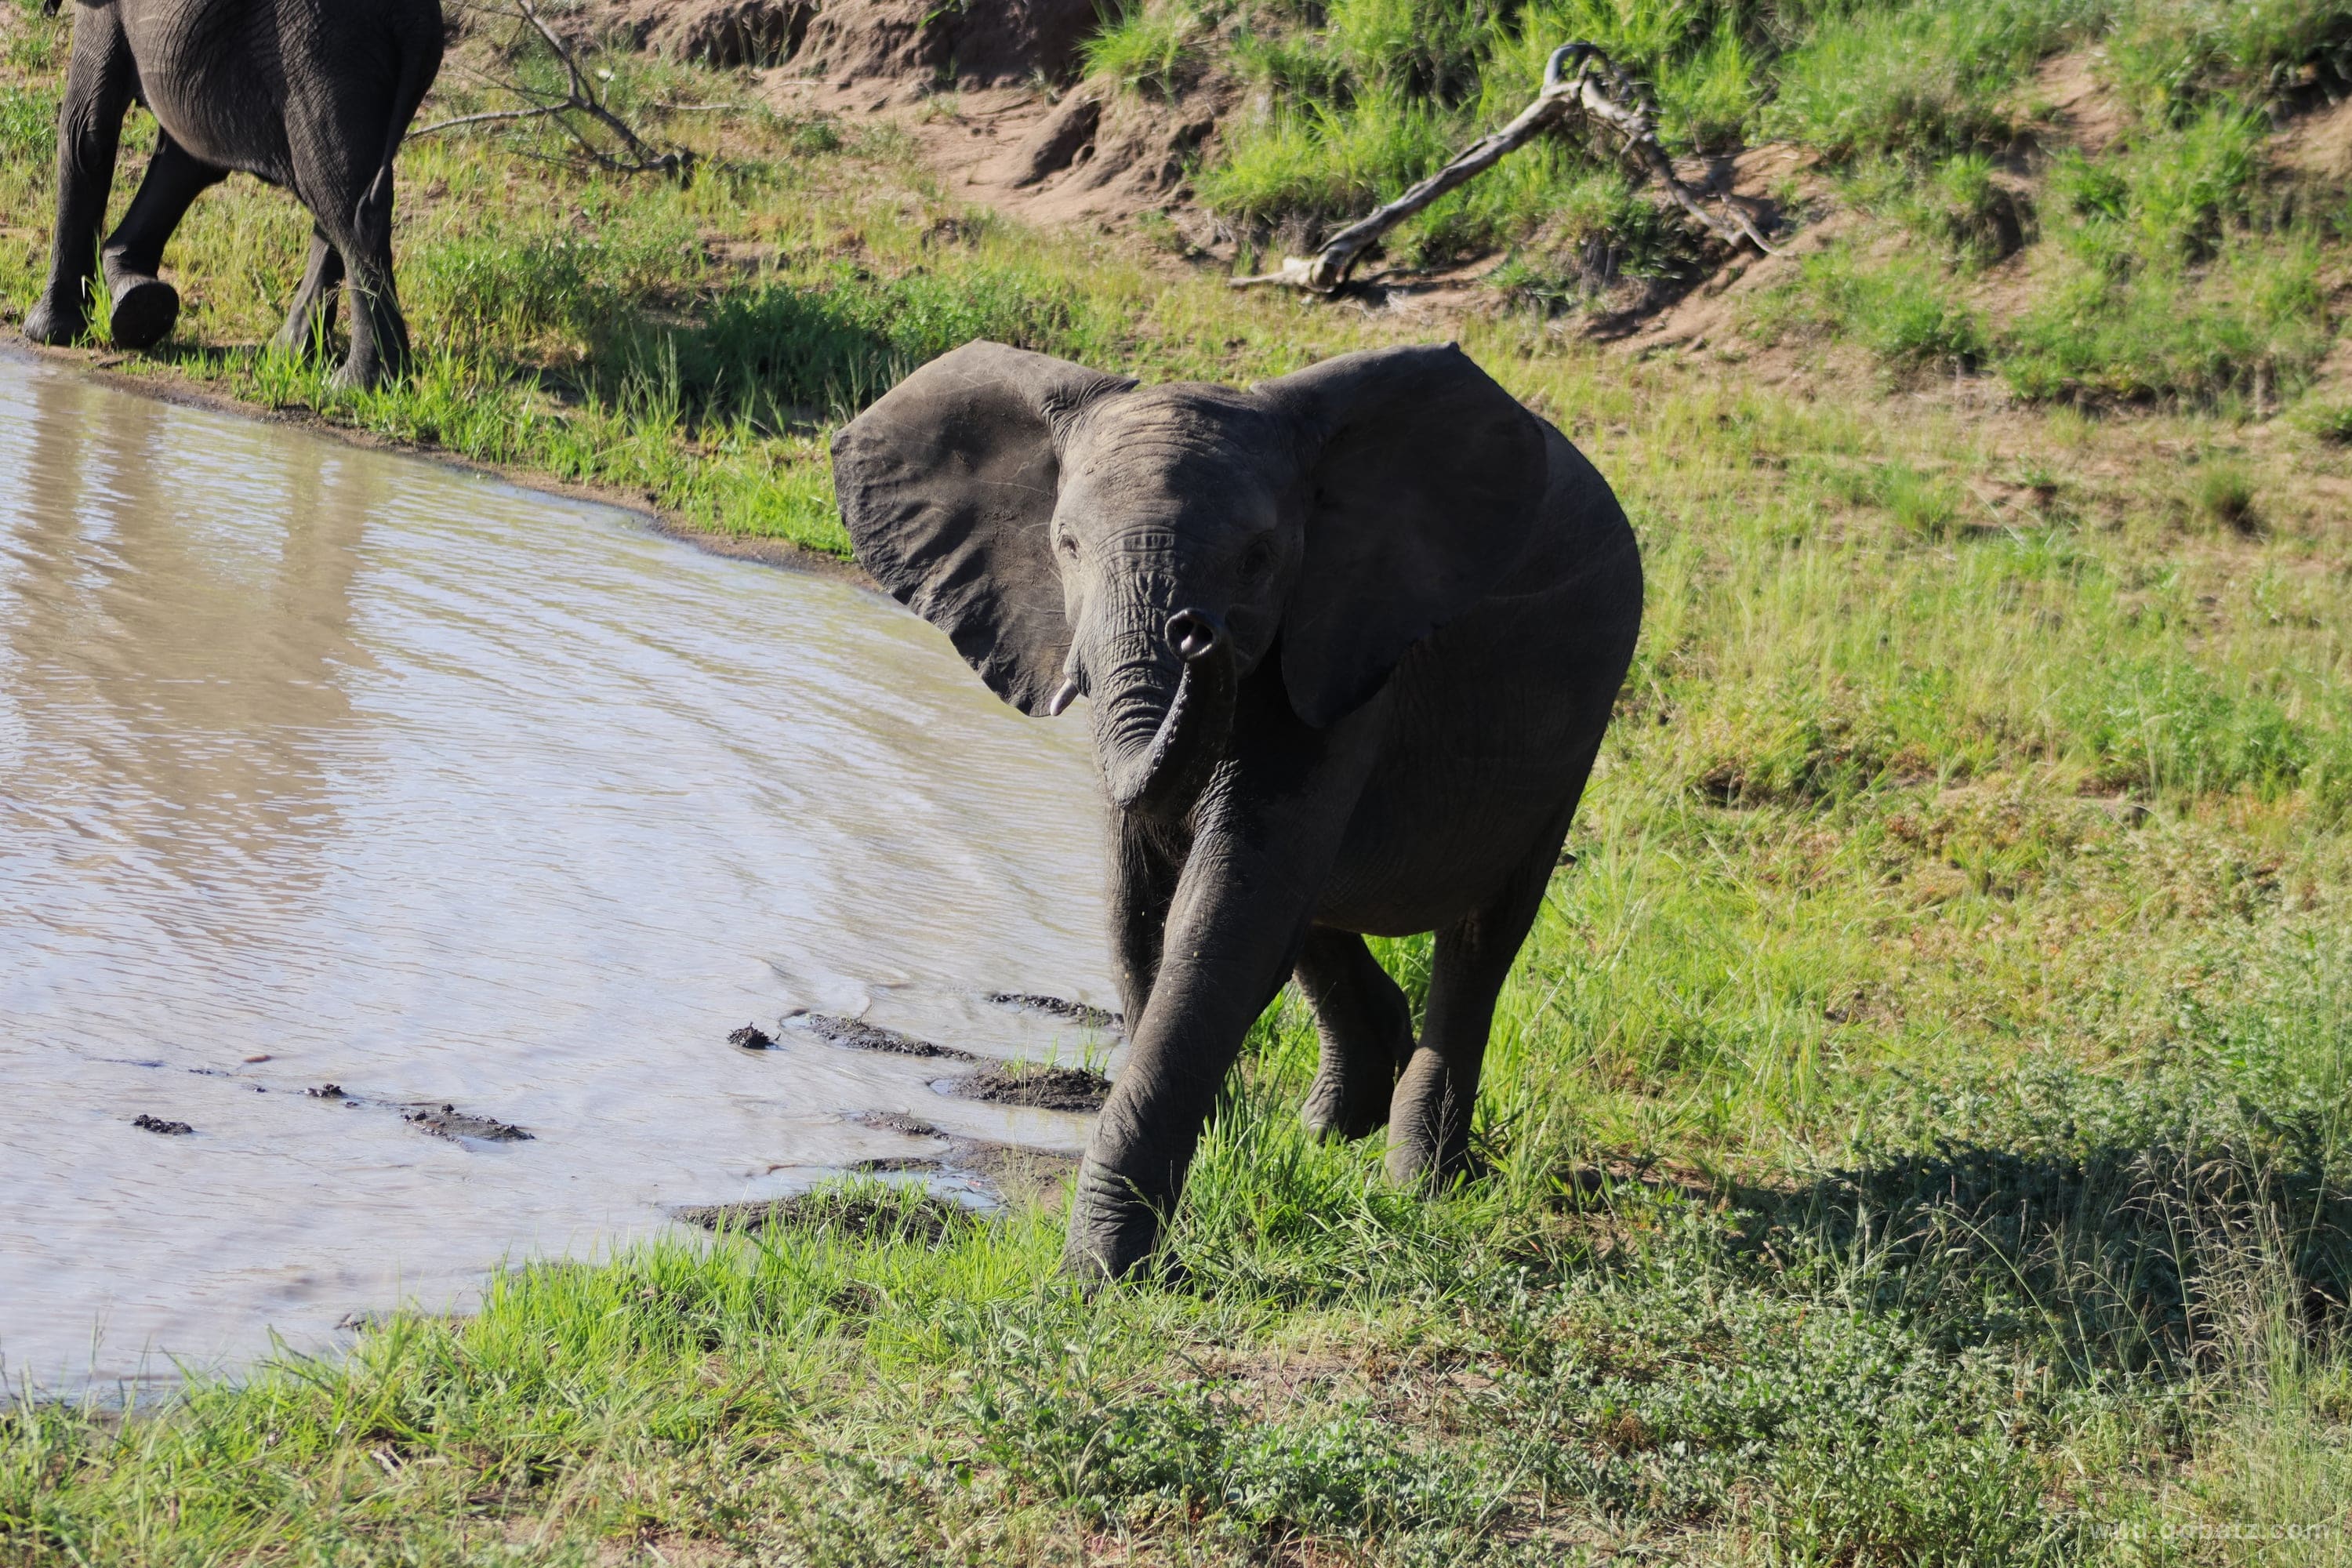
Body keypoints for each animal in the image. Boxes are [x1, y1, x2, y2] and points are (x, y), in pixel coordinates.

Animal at [24, 0, 443, 388]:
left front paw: (48, 332)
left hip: (326, 55)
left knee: (344, 205)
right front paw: (139, 299)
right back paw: (287, 356)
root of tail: (415, 20)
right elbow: (185, 160)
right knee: (335, 200)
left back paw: (358, 385)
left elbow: (86, 135)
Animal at [832, 340, 1643, 1282]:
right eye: (1066, 545)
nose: (1195, 633)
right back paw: (1331, 1129)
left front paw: (1102, 1275)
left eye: (1259, 557)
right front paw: (1207, 1163)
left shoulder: (1350, 635)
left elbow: (1222, 912)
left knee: (1480, 939)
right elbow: (1144, 906)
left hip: (1578, 723)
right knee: (1314, 915)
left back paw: (1418, 1184)